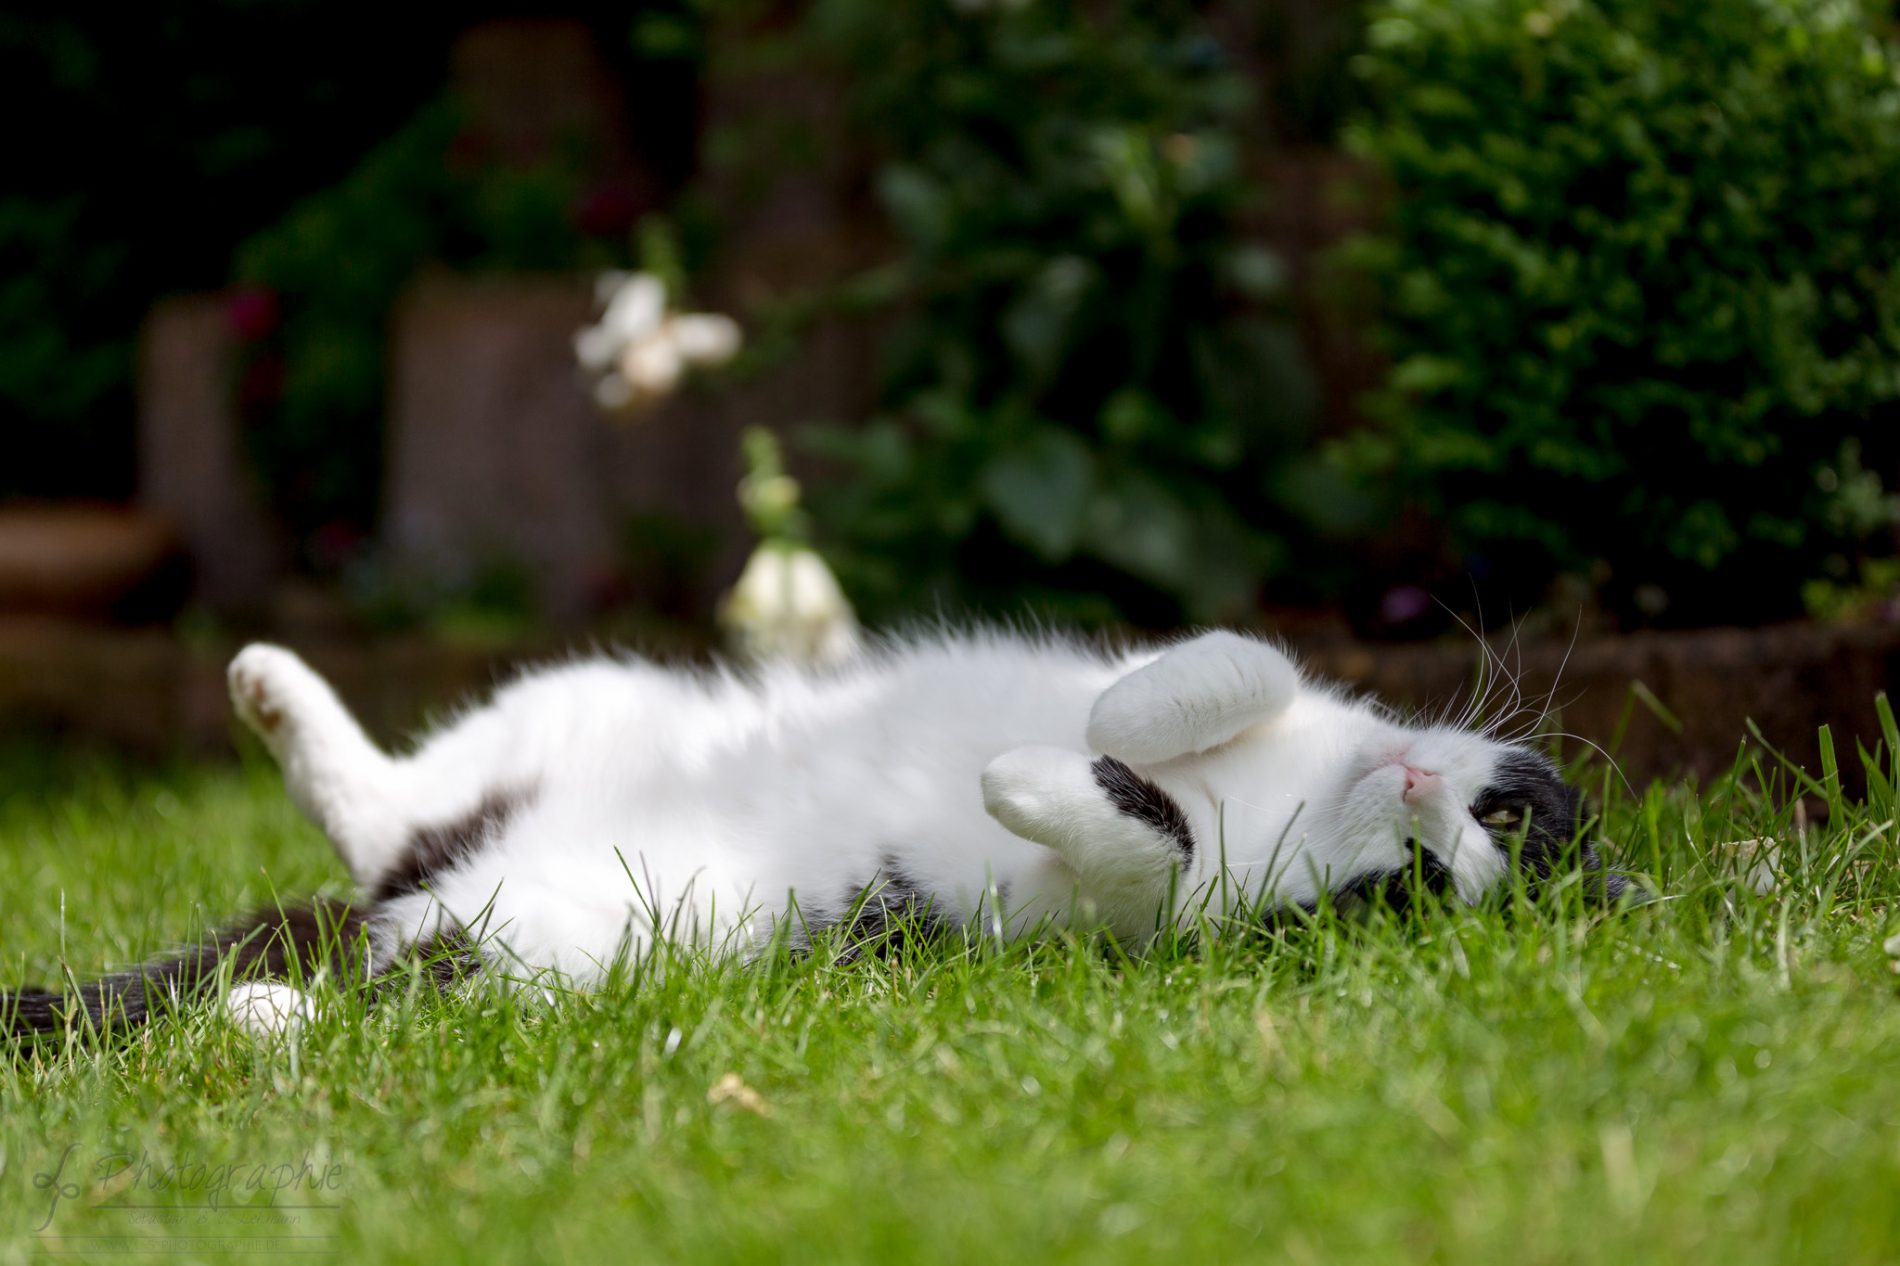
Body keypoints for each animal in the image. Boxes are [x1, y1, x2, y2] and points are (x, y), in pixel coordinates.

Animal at [7, 627, 1626, 1034]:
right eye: (1491, 815)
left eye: (1418, 891)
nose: (1422, 807)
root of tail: (419, 900)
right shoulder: (1271, 683)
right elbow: (1230, 666)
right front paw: (1116, 724)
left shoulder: (1149, 923)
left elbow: (1146, 852)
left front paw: (1027, 784)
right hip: (584, 705)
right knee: (384, 814)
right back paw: (269, 689)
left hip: (570, 950)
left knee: (399, 992)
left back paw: (269, 1014)